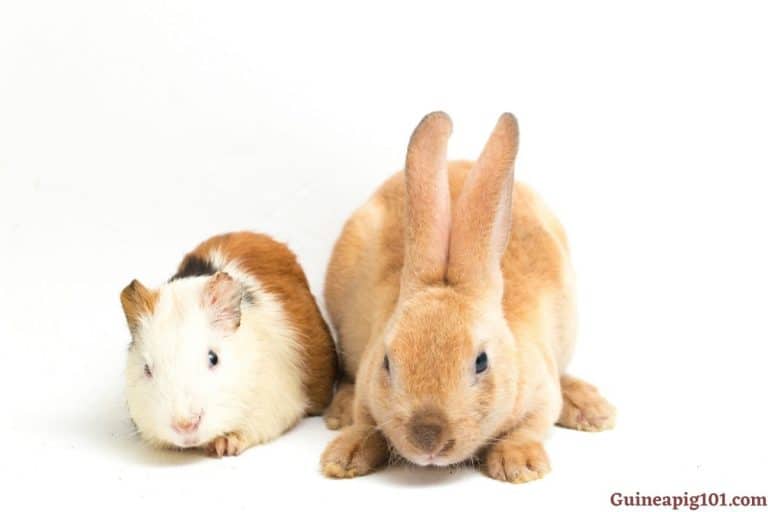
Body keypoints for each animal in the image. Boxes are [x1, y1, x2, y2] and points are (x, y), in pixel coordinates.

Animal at [319, 112, 615, 482]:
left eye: (481, 361)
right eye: (388, 362)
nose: (428, 438)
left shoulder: (541, 393)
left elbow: (530, 427)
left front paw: (519, 466)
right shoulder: (367, 383)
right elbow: (366, 424)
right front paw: (344, 456)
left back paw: (592, 409)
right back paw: (339, 415)